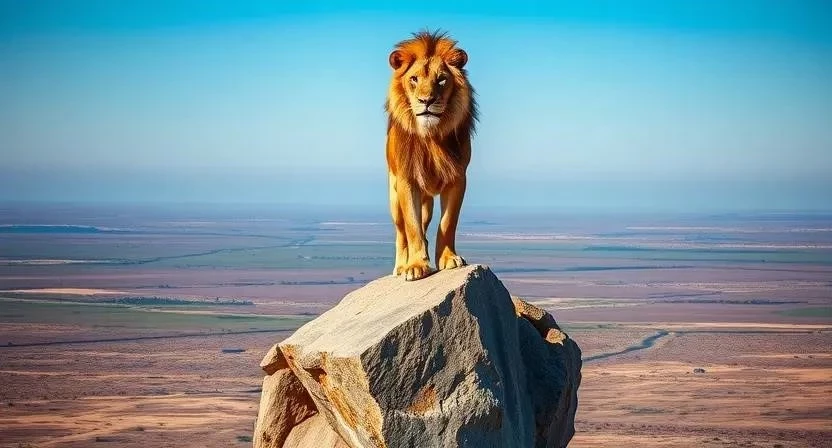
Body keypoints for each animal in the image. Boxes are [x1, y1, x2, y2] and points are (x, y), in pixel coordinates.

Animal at [385, 30, 477, 281]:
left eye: (442, 79)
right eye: (414, 79)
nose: (426, 101)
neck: (431, 136)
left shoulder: (458, 177)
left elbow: (447, 223)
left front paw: (448, 258)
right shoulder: (407, 181)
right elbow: (412, 227)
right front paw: (416, 265)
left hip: (427, 204)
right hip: (394, 199)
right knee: (401, 232)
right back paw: (401, 265)